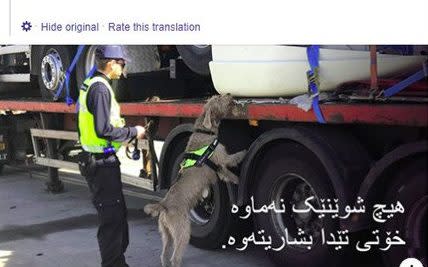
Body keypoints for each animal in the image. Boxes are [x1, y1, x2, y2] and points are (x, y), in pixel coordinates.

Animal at [144, 95, 246, 267]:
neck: (203, 131)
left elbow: (229, 175)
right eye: (218, 99)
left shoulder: (220, 169)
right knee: (175, 257)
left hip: (166, 234)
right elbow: (235, 157)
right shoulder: (223, 159)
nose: (229, 94)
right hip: (183, 231)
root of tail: (164, 205)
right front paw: (246, 152)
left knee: (164, 255)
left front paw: (238, 180)